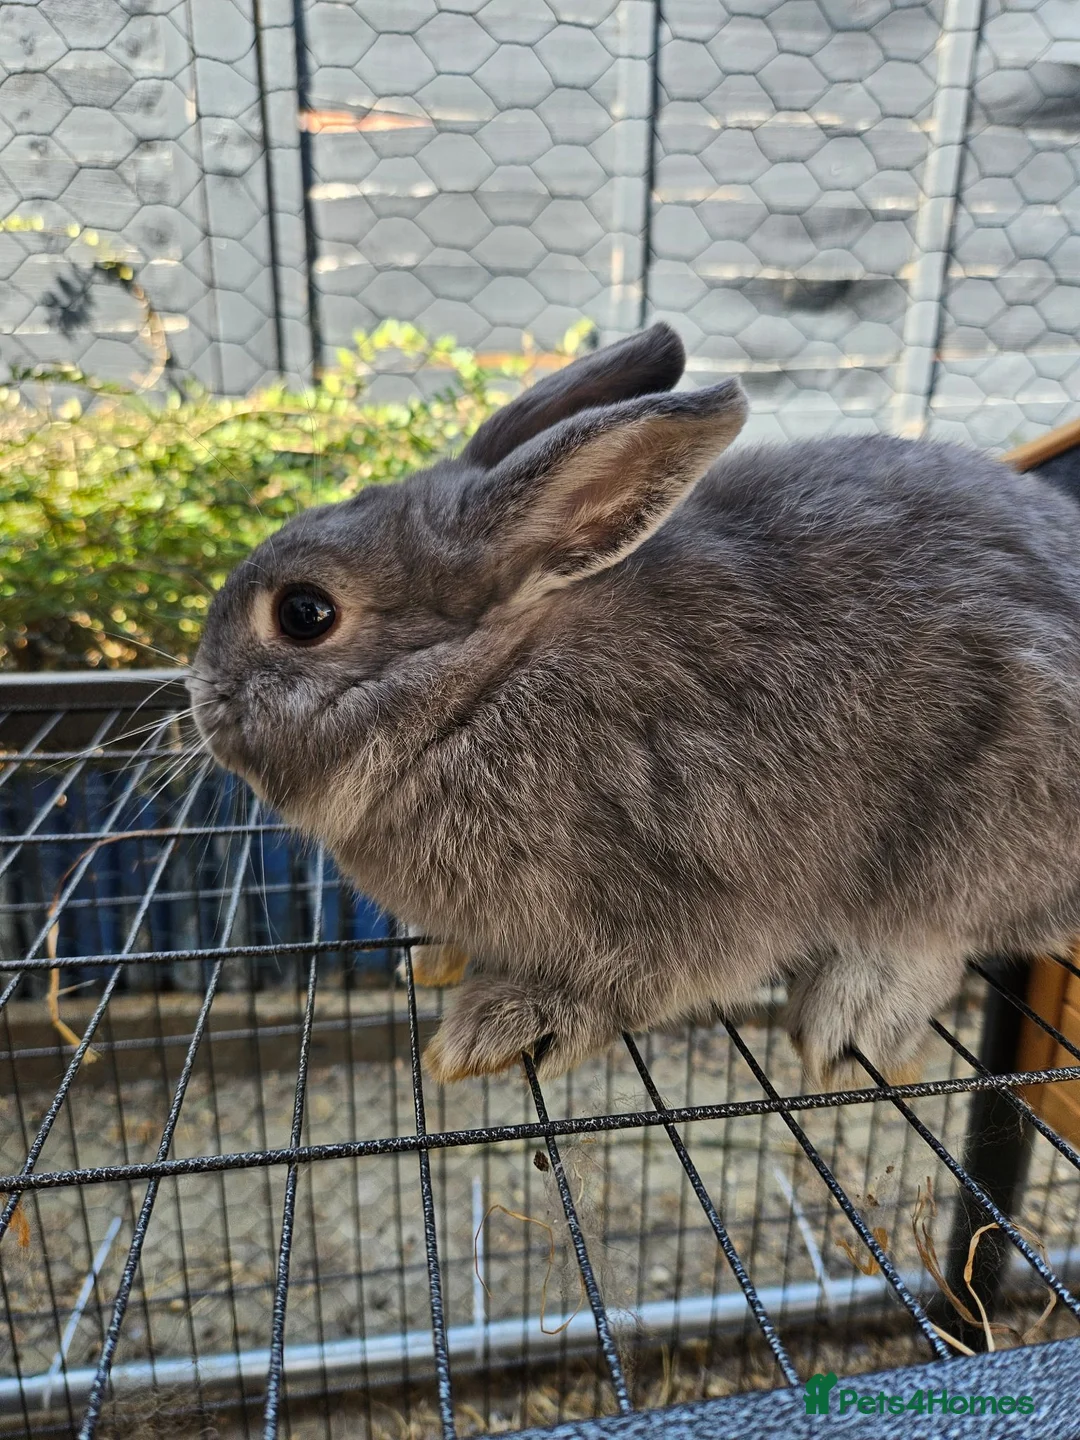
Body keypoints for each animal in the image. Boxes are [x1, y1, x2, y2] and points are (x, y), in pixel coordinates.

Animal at [190, 323, 1080, 1087]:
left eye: (305, 613)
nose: (200, 696)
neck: (477, 691)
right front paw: (439, 959)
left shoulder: (675, 884)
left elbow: (633, 980)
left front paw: (506, 1023)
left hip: (986, 819)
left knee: (935, 934)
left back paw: (849, 1019)